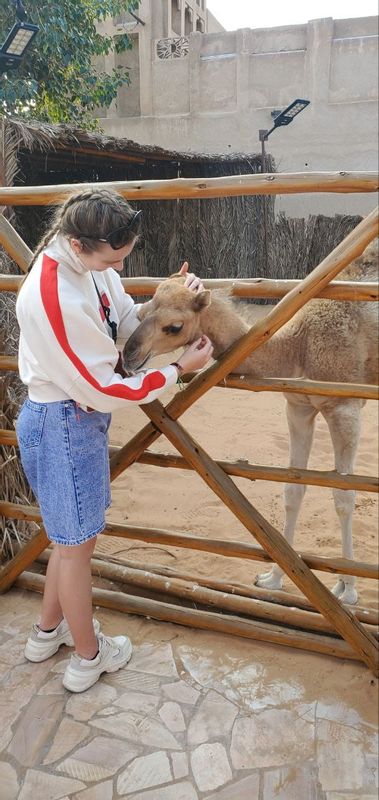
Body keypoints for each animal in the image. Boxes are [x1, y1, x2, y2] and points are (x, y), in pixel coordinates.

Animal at [124, 241, 379, 604]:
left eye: (173, 326)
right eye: (142, 312)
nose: (129, 355)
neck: (298, 346)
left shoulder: (345, 408)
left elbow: (344, 497)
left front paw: (348, 590)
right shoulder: (298, 407)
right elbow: (293, 489)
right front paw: (273, 578)